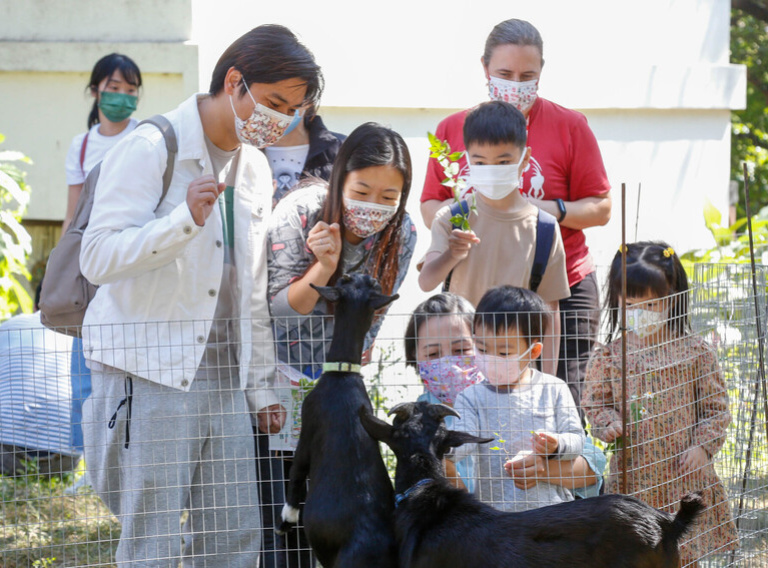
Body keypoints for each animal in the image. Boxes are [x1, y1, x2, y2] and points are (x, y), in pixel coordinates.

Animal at [276, 272, 400, 568]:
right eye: (367, 284)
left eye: (345, 280)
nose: (363, 273)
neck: (343, 373)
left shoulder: (307, 431)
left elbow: (296, 475)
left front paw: (286, 521)